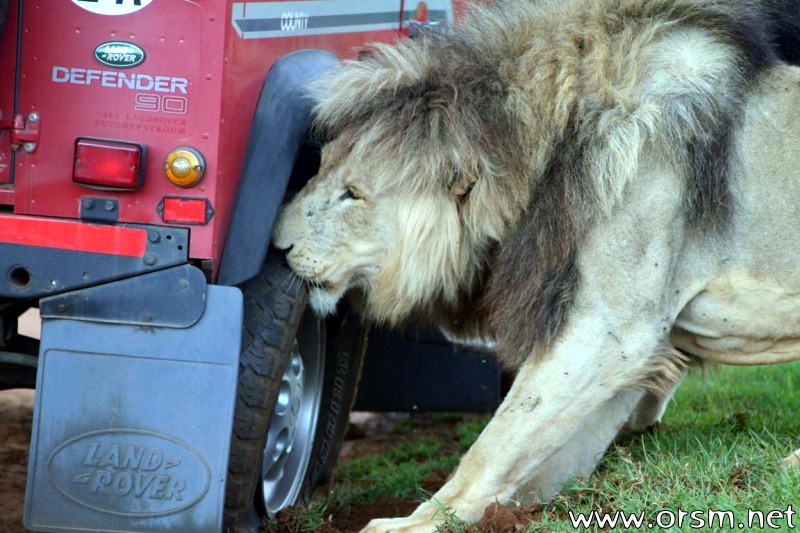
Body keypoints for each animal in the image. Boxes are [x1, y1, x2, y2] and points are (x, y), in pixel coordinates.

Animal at [274, 2, 800, 528]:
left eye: (353, 194)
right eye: (319, 166)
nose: (276, 243)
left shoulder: (613, 330)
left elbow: (493, 444)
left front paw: (417, 521)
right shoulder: (632, 350)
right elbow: (540, 455)